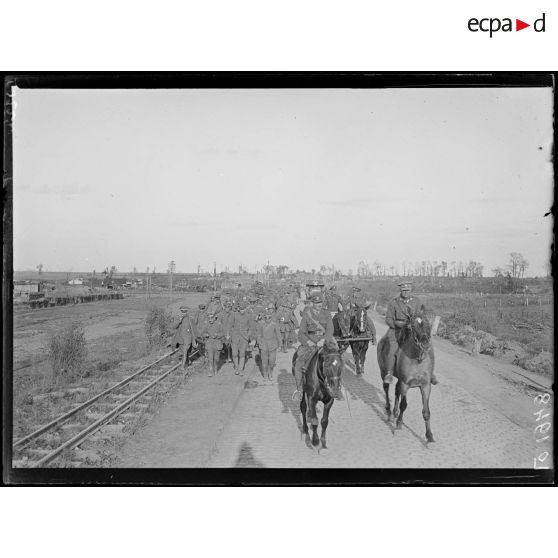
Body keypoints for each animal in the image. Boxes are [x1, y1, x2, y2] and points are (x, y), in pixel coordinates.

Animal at [378, 312, 440, 444]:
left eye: (429, 324)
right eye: (412, 327)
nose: (426, 344)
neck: (417, 360)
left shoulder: (425, 386)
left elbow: (426, 411)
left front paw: (429, 436)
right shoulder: (405, 384)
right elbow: (404, 405)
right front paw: (399, 425)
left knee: (396, 391)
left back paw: (395, 413)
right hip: (383, 372)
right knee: (386, 388)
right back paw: (389, 412)